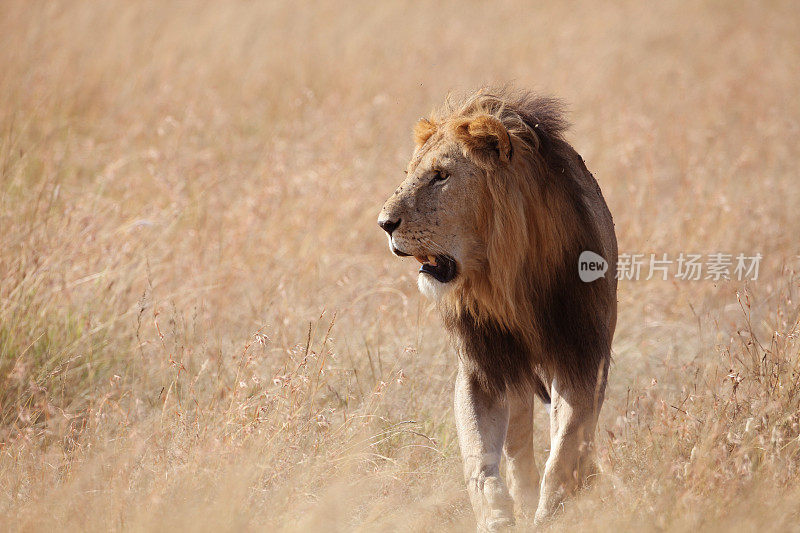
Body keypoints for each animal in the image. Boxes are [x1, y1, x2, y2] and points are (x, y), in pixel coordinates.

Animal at [376, 88, 620, 528]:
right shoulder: (483, 367)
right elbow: (479, 455)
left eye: (441, 176)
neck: (507, 276)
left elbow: (565, 448)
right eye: (410, 172)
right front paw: (498, 516)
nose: (384, 223)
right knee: (518, 444)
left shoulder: (580, 357)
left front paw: (552, 514)